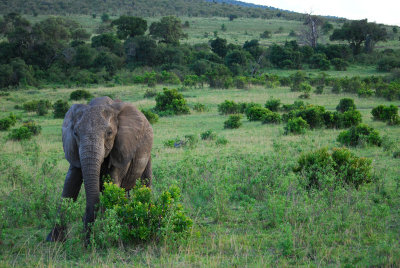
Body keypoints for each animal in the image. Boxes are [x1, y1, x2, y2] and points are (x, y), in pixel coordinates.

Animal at [46, 96, 153, 243]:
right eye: (75, 133)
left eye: (109, 133)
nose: (86, 239)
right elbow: (70, 184)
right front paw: (53, 240)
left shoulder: (121, 148)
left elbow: (112, 184)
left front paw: (106, 239)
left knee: (145, 182)